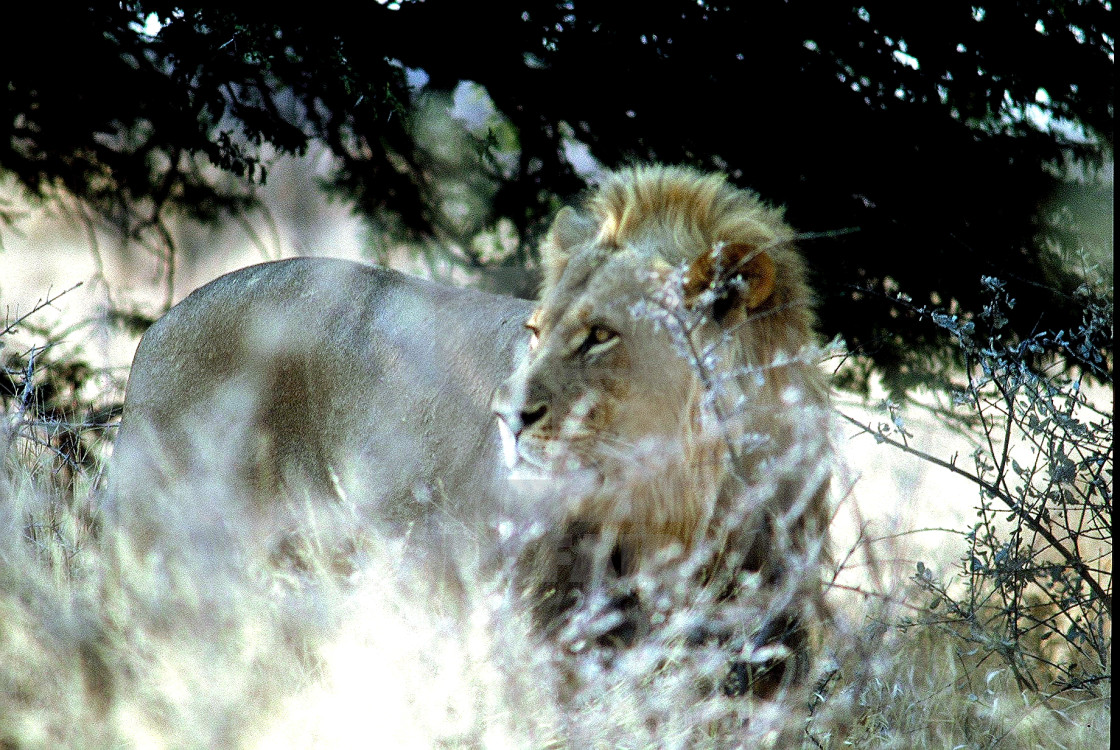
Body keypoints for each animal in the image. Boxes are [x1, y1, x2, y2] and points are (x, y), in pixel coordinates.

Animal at [111, 165, 833, 698]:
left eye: (600, 335)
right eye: (537, 331)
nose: (505, 416)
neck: (686, 508)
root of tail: (161, 324)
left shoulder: (771, 655)